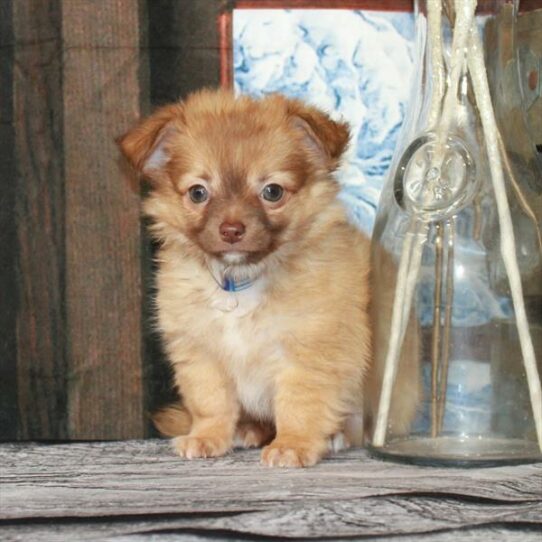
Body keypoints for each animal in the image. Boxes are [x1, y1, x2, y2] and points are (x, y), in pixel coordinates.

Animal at [118, 88, 374, 468]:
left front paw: (294, 444)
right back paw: (249, 430)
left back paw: (335, 437)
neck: (240, 280)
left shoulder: (309, 352)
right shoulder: (202, 354)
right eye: (198, 192)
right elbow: (211, 403)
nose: (231, 230)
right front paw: (208, 437)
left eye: (272, 191)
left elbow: (299, 404)